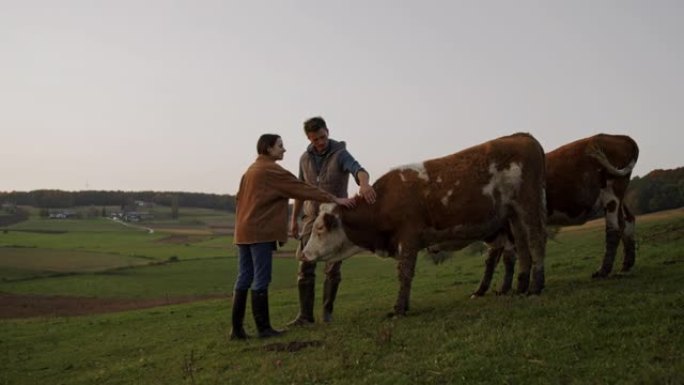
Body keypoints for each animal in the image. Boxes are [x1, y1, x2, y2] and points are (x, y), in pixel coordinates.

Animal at [302, 132, 548, 316]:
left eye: (319, 228)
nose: (302, 254)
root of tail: (521, 136)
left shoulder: (409, 237)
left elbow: (405, 272)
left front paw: (399, 309)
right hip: (512, 216)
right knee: (520, 248)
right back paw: (518, 287)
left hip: (528, 204)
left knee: (536, 240)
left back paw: (535, 287)